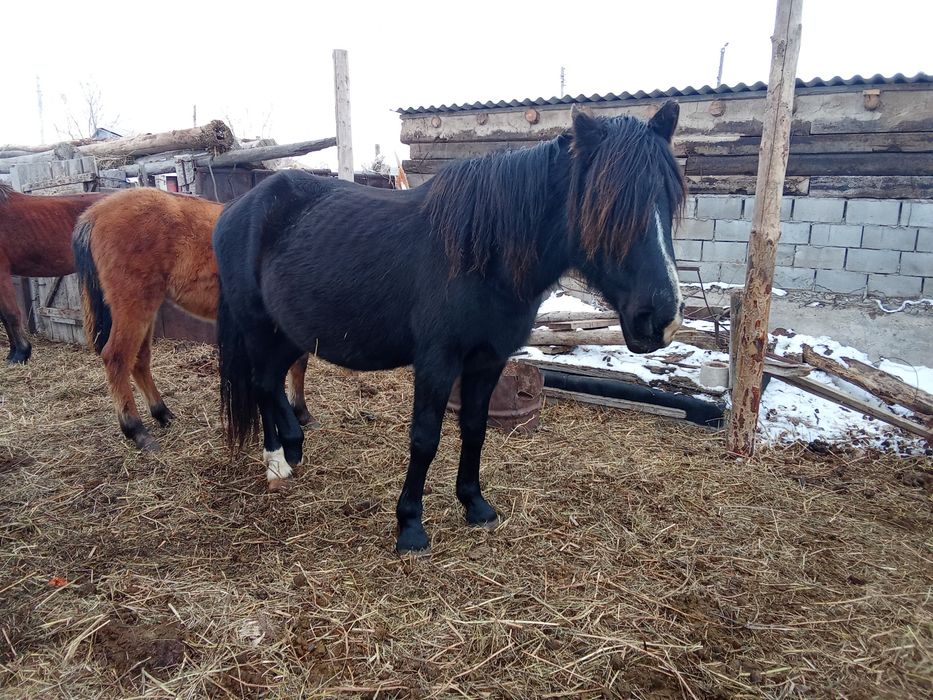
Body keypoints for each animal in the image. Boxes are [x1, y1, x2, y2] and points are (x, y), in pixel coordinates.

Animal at [72, 188, 313, 453]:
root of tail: (96, 212)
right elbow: (298, 363)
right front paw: (300, 412)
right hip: (133, 306)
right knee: (116, 359)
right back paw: (137, 431)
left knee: (139, 359)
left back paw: (162, 413)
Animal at [214, 102, 686, 553]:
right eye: (607, 206)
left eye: (668, 198)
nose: (660, 319)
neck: (483, 255)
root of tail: (236, 208)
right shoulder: (437, 362)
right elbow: (425, 439)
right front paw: (410, 527)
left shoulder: (489, 360)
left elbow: (475, 430)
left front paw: (475, 504)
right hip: (258, 326)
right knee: (262, 384)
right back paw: (277, 462)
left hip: (289, 332)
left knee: (272, 382)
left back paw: (290, 449)